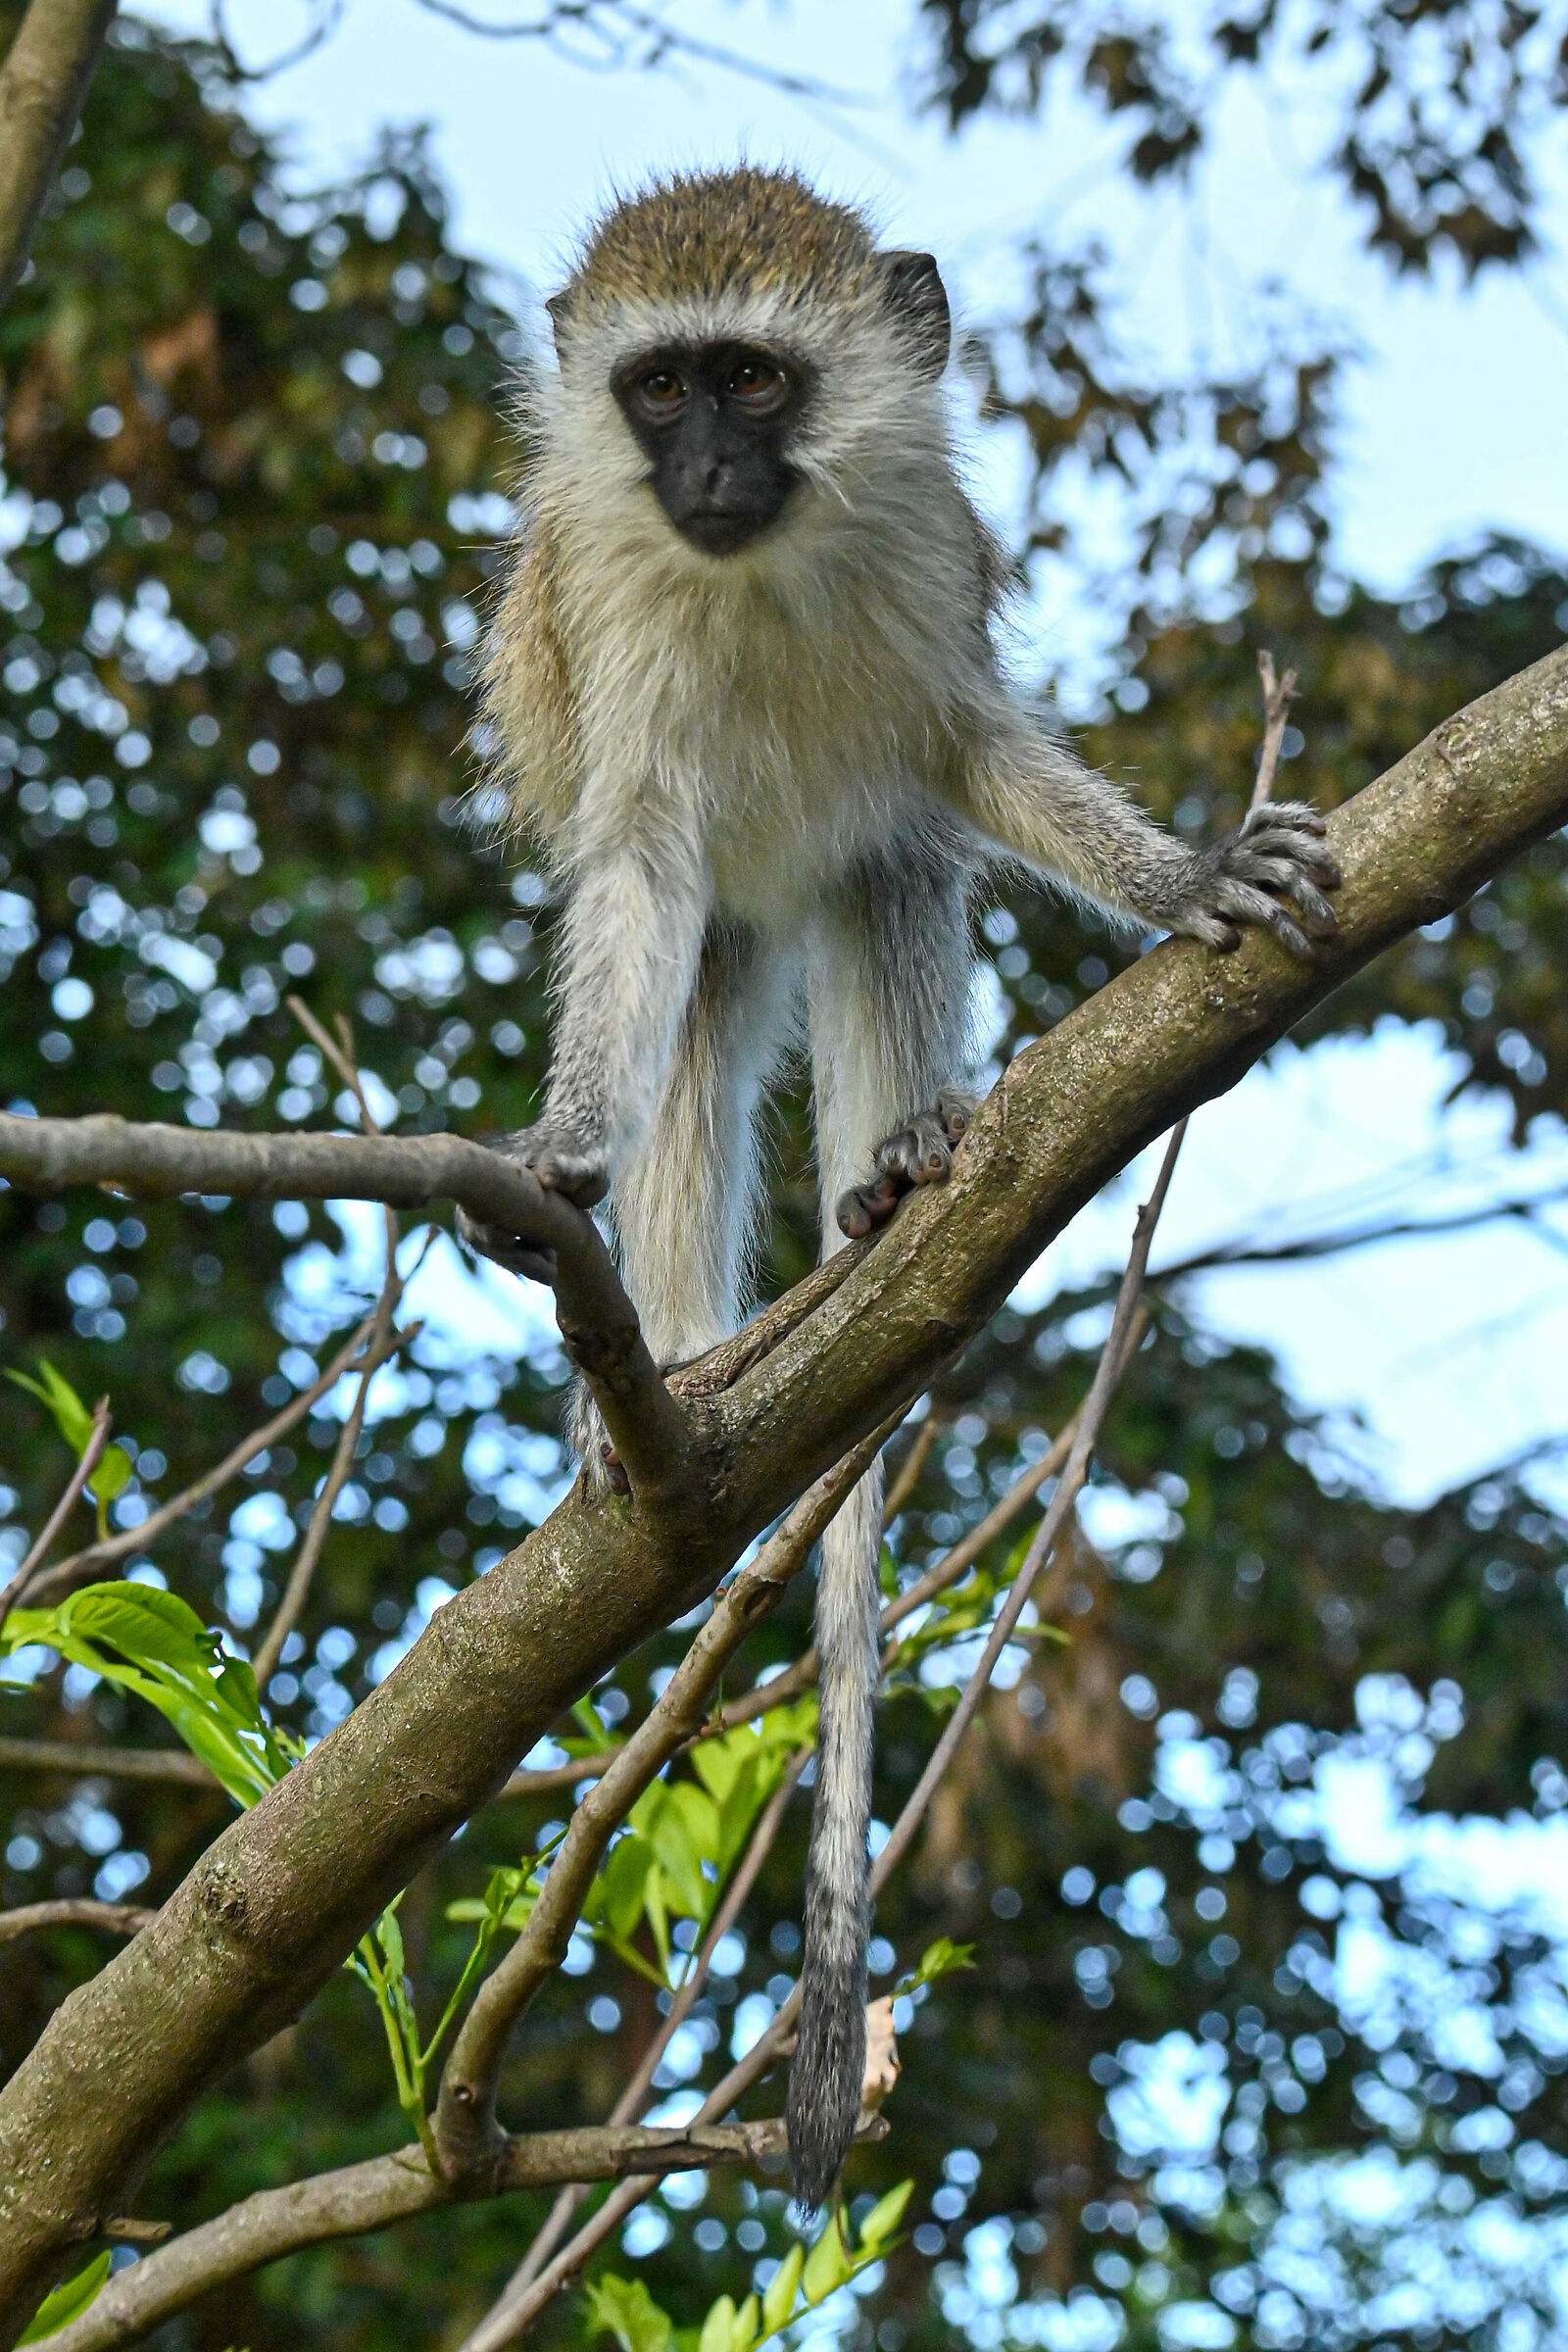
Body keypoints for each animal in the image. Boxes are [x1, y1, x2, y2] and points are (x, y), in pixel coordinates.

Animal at [456, 167, 1339, 2211]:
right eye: (662, 386)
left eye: (757, 381)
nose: (706, 469)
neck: (751, 570)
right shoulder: (617, 624)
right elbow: (635, 874)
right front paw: (563, 1146)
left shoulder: (927, 553)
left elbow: (963, 754)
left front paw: (1182, 880)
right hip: (716, 955)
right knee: (697, 1015)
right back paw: (674, 1379)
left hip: (855, 897)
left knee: (886, 869)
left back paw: (901, 1175)